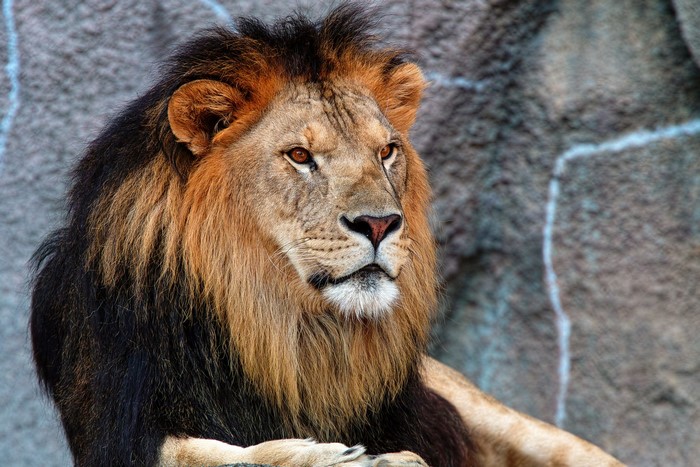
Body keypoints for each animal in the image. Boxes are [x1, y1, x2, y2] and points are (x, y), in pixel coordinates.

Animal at [30, 5, 623, 466]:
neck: (286, 330)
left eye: (386, 151)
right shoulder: (116, 430)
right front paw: (339, 456)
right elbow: (205, 453)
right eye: (299, 155)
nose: (380, 223)